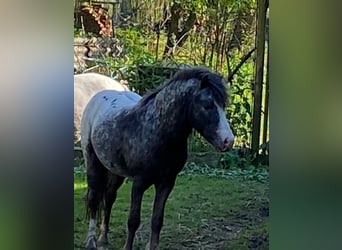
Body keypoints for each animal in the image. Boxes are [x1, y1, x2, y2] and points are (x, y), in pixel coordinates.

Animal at [81, 67, 234, 249]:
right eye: (207, 105)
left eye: (223, 105)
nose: (228, 141)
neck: (157, 130)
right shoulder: (139, 183)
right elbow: (133, 220)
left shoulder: (166, 183)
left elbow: (157, 220)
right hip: (93, 163)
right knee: (94, 199)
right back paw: (91, 241)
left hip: (115, 170)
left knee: (109, 198)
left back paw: (103, 239)